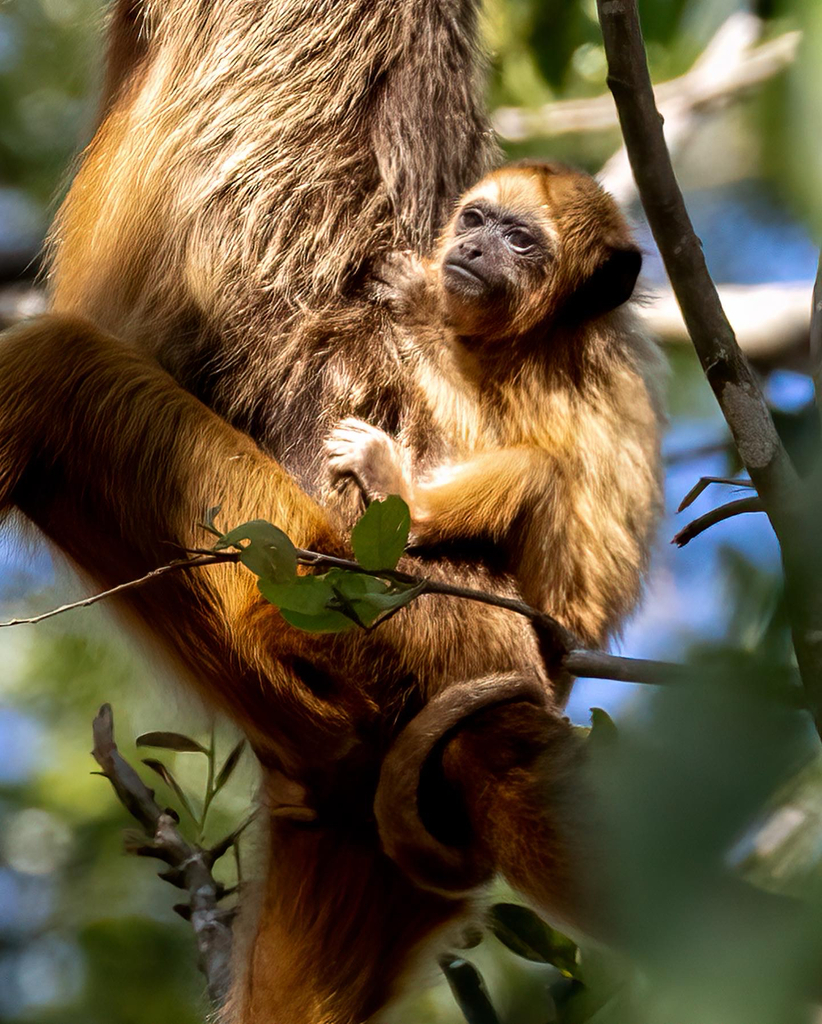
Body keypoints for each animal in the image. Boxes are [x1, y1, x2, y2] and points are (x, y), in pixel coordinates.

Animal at [327, 162, 666, 649]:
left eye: (519, 240)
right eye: (473, 220)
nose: (471, 249)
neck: (544, 330)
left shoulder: (549, 371)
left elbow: (485, 437)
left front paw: (421, 305)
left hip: (556, 596)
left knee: (538, 468)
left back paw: (402, 494)